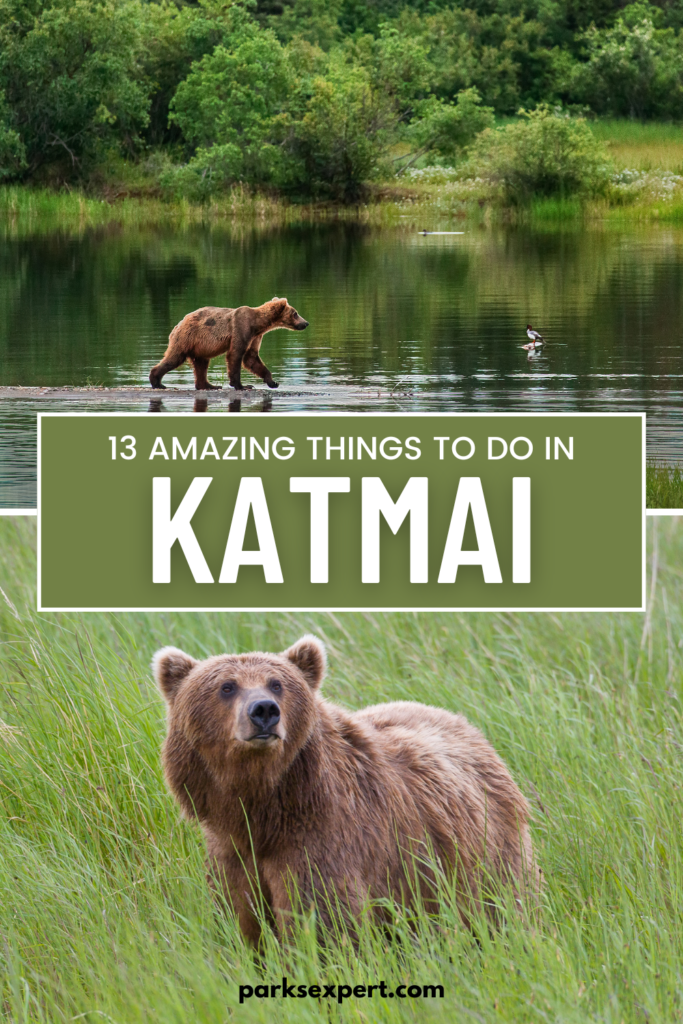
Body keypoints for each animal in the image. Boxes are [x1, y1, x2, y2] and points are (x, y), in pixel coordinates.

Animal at [149, 297, 309, 392]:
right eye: (295, 313)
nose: (306, 323)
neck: (259, 324)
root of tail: (178, 324)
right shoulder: (241, 328)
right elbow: (236, 355)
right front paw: (242, 385)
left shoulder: (255, 337)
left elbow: (252, 358)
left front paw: (272, 382)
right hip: (186, 338)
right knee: (174, 358)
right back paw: (157, 382)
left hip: (200, 347)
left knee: (201, 364)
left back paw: (210, 385)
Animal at [154, 635, 538, 946]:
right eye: (227, 686)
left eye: (276, 684)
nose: (263, 710)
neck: (262, 807)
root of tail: (468, 726)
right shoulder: (231, 850)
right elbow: (243, 917)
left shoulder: (325, 836)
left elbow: (323, 919)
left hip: (485, 855)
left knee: (502, 907)